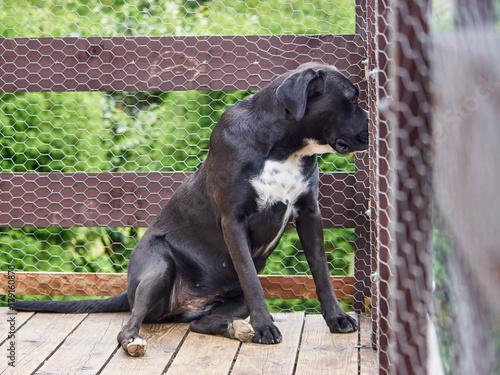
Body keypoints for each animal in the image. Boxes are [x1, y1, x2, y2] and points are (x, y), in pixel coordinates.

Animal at [15, 64, 368, 358]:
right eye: (352, 99)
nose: (373, 127)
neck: (284, 148)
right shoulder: (234, 221)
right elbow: (251, 279)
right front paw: (265, 326)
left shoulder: (309, 214)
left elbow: (321, 272)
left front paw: (336, 318)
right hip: (158, 267)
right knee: (129, 325)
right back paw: (134, 340)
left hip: (229, 300)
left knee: (199, 324)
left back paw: (237, 328)